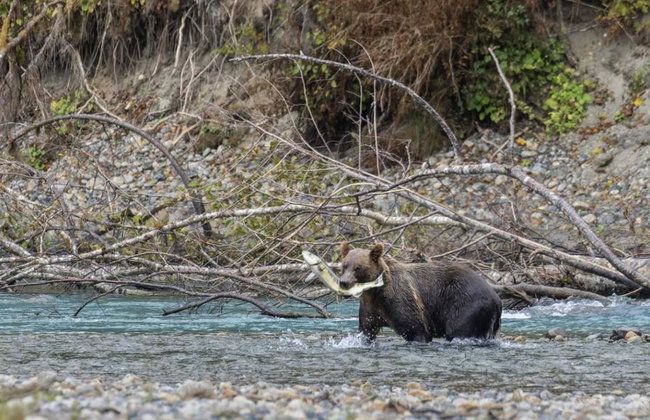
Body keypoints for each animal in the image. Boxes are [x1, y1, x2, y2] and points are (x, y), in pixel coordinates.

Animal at [339, 242, 502, 342]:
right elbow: (366, 330)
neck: (376, 291)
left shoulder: (400, 300)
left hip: (465, 304)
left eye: (358, 267)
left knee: (459, 331)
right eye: (344, 265)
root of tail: (497, 299)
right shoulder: (370, 308)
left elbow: (416, 329)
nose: (343, 282)